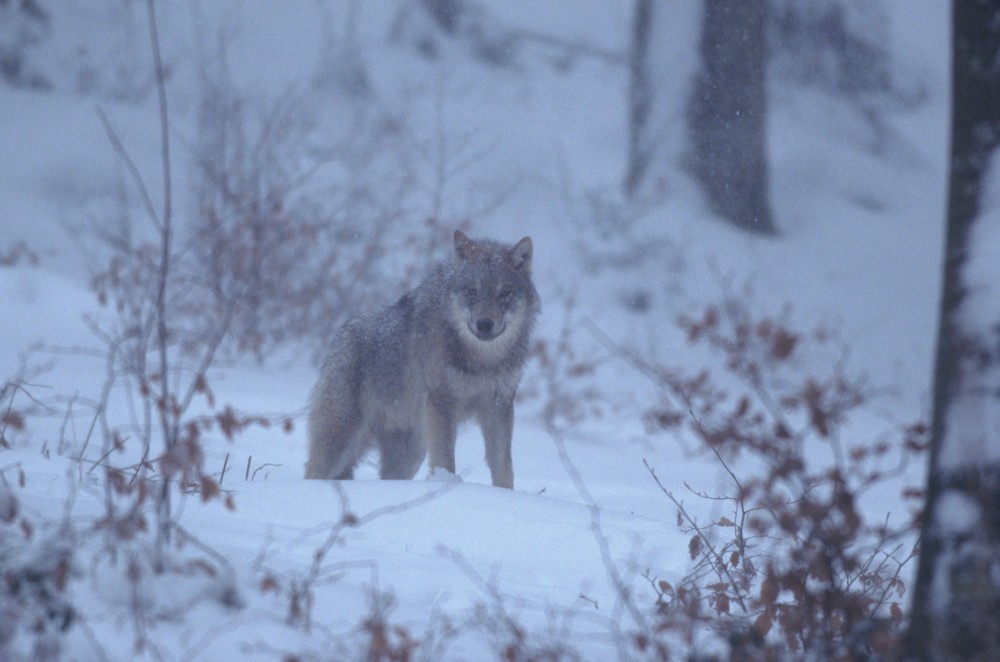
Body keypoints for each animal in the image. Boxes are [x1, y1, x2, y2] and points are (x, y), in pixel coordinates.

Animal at [304, 231, 540, 490]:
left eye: (504, 292)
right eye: (471, 291)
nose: (485, 324)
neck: (482, 360)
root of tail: (339, 337)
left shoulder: (499, 406)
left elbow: (503, 467)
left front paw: (506, 494)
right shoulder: (442, 404)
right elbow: (445, 461)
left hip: (410, 452)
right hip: (341, 440)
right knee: (312, 472)